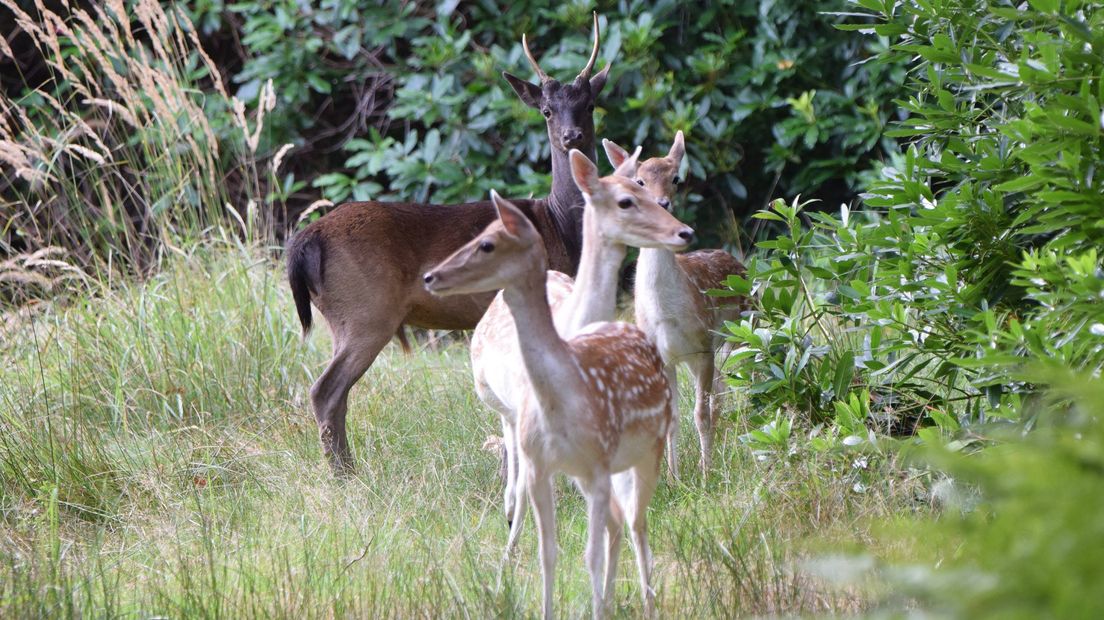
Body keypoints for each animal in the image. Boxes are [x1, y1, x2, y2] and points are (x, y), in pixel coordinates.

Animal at [284, 13, 613, 467]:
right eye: (547, 110)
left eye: (589, 104)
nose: (572, 136)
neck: (559, 225)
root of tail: (306, 239)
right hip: (365, 308)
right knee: (326, 390)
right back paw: (344, 473)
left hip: (341, 315)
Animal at [426, 189, 675, 617]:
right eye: (628, 198)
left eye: (669, 183)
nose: (680, 231)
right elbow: (528, 500)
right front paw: (508, 565)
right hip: (499, 406)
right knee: (513, 484)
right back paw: (508, 542)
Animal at [604, 131, 750, 478]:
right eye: (639, 181)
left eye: (676, 179)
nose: (662, 203)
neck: (665, 315)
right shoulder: (662, 356)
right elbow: (671, 421)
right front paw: (673, 477)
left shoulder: (702, 345)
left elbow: (699, 412)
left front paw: (706, 473)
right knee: (721, 387)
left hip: (743, 327)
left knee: (727, 385)